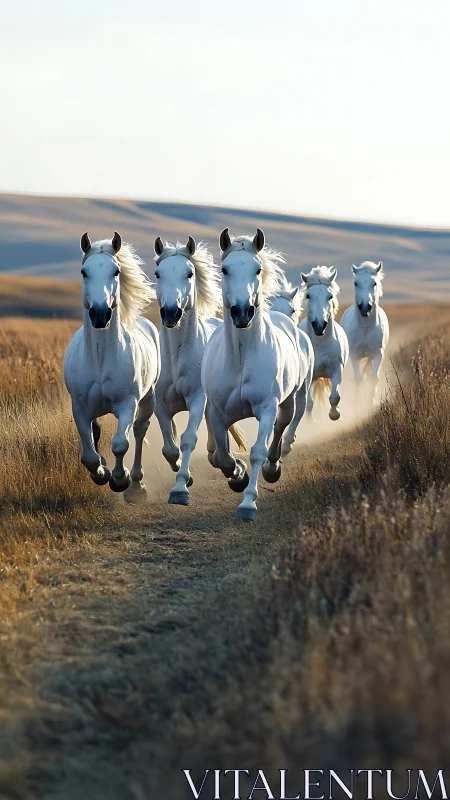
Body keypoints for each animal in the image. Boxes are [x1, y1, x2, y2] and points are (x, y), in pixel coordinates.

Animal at [64, 232, 160, 503]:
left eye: (115, 271)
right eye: (84, 271)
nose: (100, 314)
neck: (100, 359)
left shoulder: (127, 403)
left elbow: (120, 444)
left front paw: (120, 479)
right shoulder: (79, 407)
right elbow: (88, 454)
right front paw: (100, 473)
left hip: (148, 399)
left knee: (139, 431)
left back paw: (136, 485)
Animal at [153, 235, 245, 506]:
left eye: (189, 273)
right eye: (158, 273)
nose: (171, 312)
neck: (177, 357)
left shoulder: (196, 399)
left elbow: (187, 439)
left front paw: (181, 487)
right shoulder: (160, 403)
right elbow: (169, 447)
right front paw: (186, 476)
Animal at [202, 227, 308, 522]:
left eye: (257, 269)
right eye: (224, 269)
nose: (242, 312)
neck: (241, 359)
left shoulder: (266, 407)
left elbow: (258, 451)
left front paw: (248, 504)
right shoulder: (217, 413)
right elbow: (223, 456)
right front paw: (237, 476)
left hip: (289, 402)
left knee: (281, 428)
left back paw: (273, 469)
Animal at [299, 266, 349, 421]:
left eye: (330, 296)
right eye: (308, 296)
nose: (319, 325)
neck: (320, 345)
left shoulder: (337, 371)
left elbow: (334, 397)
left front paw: (334, 413)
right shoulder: (309, 377)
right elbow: (309, 403)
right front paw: (310, 421)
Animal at [340, 261, 389, 402]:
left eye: (374, 283)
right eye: (356, 283)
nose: (365, 307)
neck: (366, 328)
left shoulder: (378, 354)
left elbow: (373, 378)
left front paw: (370, 402)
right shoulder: (354, 355)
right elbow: (358, 377)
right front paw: (357, 402)